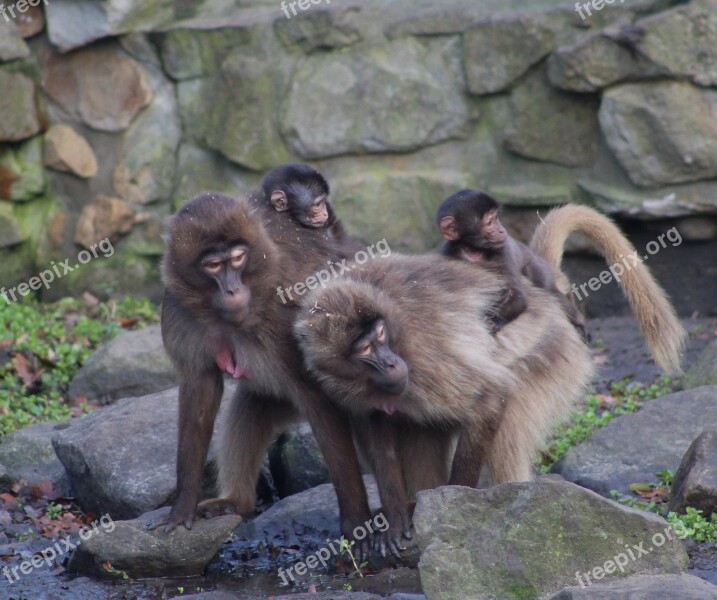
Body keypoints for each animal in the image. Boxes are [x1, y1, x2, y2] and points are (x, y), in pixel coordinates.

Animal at [436, 190, 588, 340]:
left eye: (496, 218)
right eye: (489, 222)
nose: (502, 230)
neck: (474, 250)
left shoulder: (502, 253)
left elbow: (518, 296)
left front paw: (492, 322)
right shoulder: (448, 252)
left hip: (536, 265)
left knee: (547, 288)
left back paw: (579, 321)